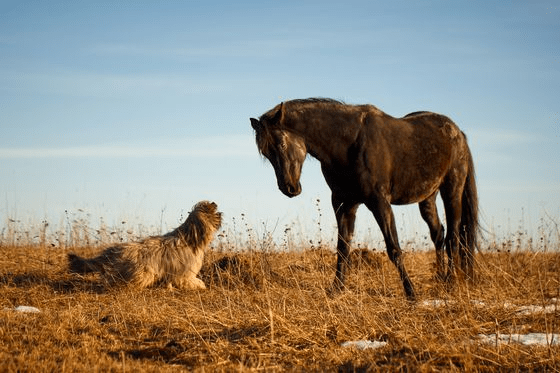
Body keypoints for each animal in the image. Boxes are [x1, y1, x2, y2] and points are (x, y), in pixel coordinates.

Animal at [67, 199, 221, 290]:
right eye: (212, 210)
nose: (215, 203)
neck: (189, 238)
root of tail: (109, 253)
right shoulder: (184, 272)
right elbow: (188, 280)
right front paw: (200, 285)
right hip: (142, 272)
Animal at [252, 98, 480, 300]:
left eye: (282, 144)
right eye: (266, 153)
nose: (289, 188)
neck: (349, 143)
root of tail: (458, 133)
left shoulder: (379, 202)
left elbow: (394, 249)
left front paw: (411, 293)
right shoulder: (344, 203)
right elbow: (343, 248)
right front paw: (336, 290)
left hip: (452, 190)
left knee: (453, 237)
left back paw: (450, 283)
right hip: (427, 197)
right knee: (438, 234)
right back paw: (440, 278)